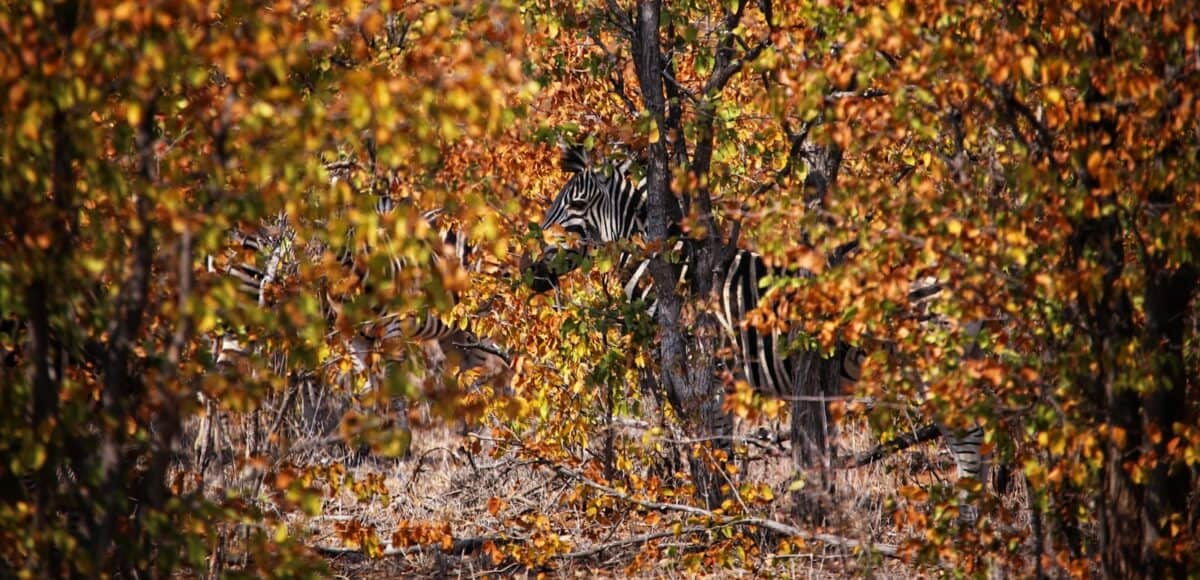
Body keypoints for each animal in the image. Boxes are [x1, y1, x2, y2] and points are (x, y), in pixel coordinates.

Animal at [522, 145, 986, 486]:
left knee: (970, 446)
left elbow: (716, 450)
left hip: (933, 363)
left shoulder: (714, 376)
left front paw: (722, 519)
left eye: (576, 202)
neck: (680, 276)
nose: (526, 268)